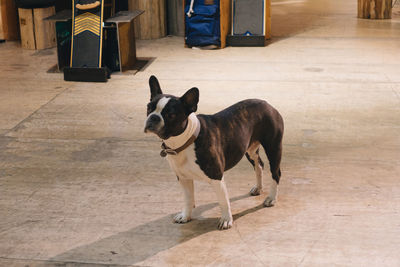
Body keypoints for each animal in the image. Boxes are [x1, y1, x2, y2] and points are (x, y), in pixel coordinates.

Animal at [145, 76, 284, 230]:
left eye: (171, 114)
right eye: (149, 107)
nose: (153, 117)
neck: (186, 141)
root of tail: (267, 104)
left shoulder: (216, 176)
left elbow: (223, 201)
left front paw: (226, 220)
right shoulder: (183, 177)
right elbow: (188, 198)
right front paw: (185, 216)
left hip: (273, 147)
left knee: (275, 173)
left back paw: (271, 198)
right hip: (250, 149)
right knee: (259, 165)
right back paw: (258, 188)